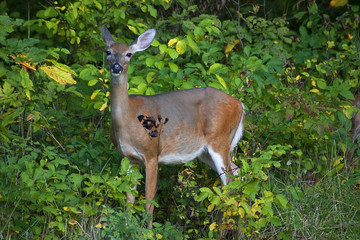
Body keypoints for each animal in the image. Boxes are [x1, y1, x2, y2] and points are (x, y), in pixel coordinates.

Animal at [101, 25, 245, 228]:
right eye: (108, 52)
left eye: (129, 54)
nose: (116, 67)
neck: (127, 121)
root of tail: (240, 104)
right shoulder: (130, 158)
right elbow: (129, 199)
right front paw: (127, 227)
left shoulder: (152, 153)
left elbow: (149, 201)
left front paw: (148, 231)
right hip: (205, 152)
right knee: (237, 174)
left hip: (220, 140)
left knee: (230, 183)